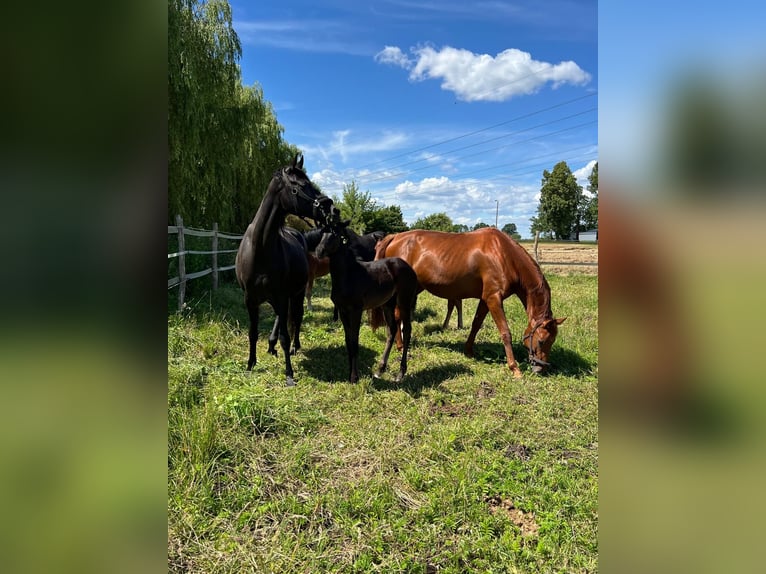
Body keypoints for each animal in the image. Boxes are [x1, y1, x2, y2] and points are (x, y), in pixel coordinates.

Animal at [314, 223, 420, 384]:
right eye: (322, 233)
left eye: (336, 234)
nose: (319, 251)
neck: (349, 274)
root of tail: (410, 268)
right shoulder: (343, 311)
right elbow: (348, 342)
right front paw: (350, 375)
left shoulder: (356, 311)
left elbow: (354, 342)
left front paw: (354, 377)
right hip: (387, 304)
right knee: (392, 330)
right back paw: (380, 370)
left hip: (404, 302)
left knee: (407, 330)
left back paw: (400, 373)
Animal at [376, 227, 568, 380]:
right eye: (542, 341)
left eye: (553, 340)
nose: (541, 368)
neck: (504, 255)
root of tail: (395, 237)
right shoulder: (493, 299)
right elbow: (505, 332)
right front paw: (514, 368)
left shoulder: (485, 299)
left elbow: (476, 324)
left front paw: (468, 351)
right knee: (397, 317)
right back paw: (400, 346)